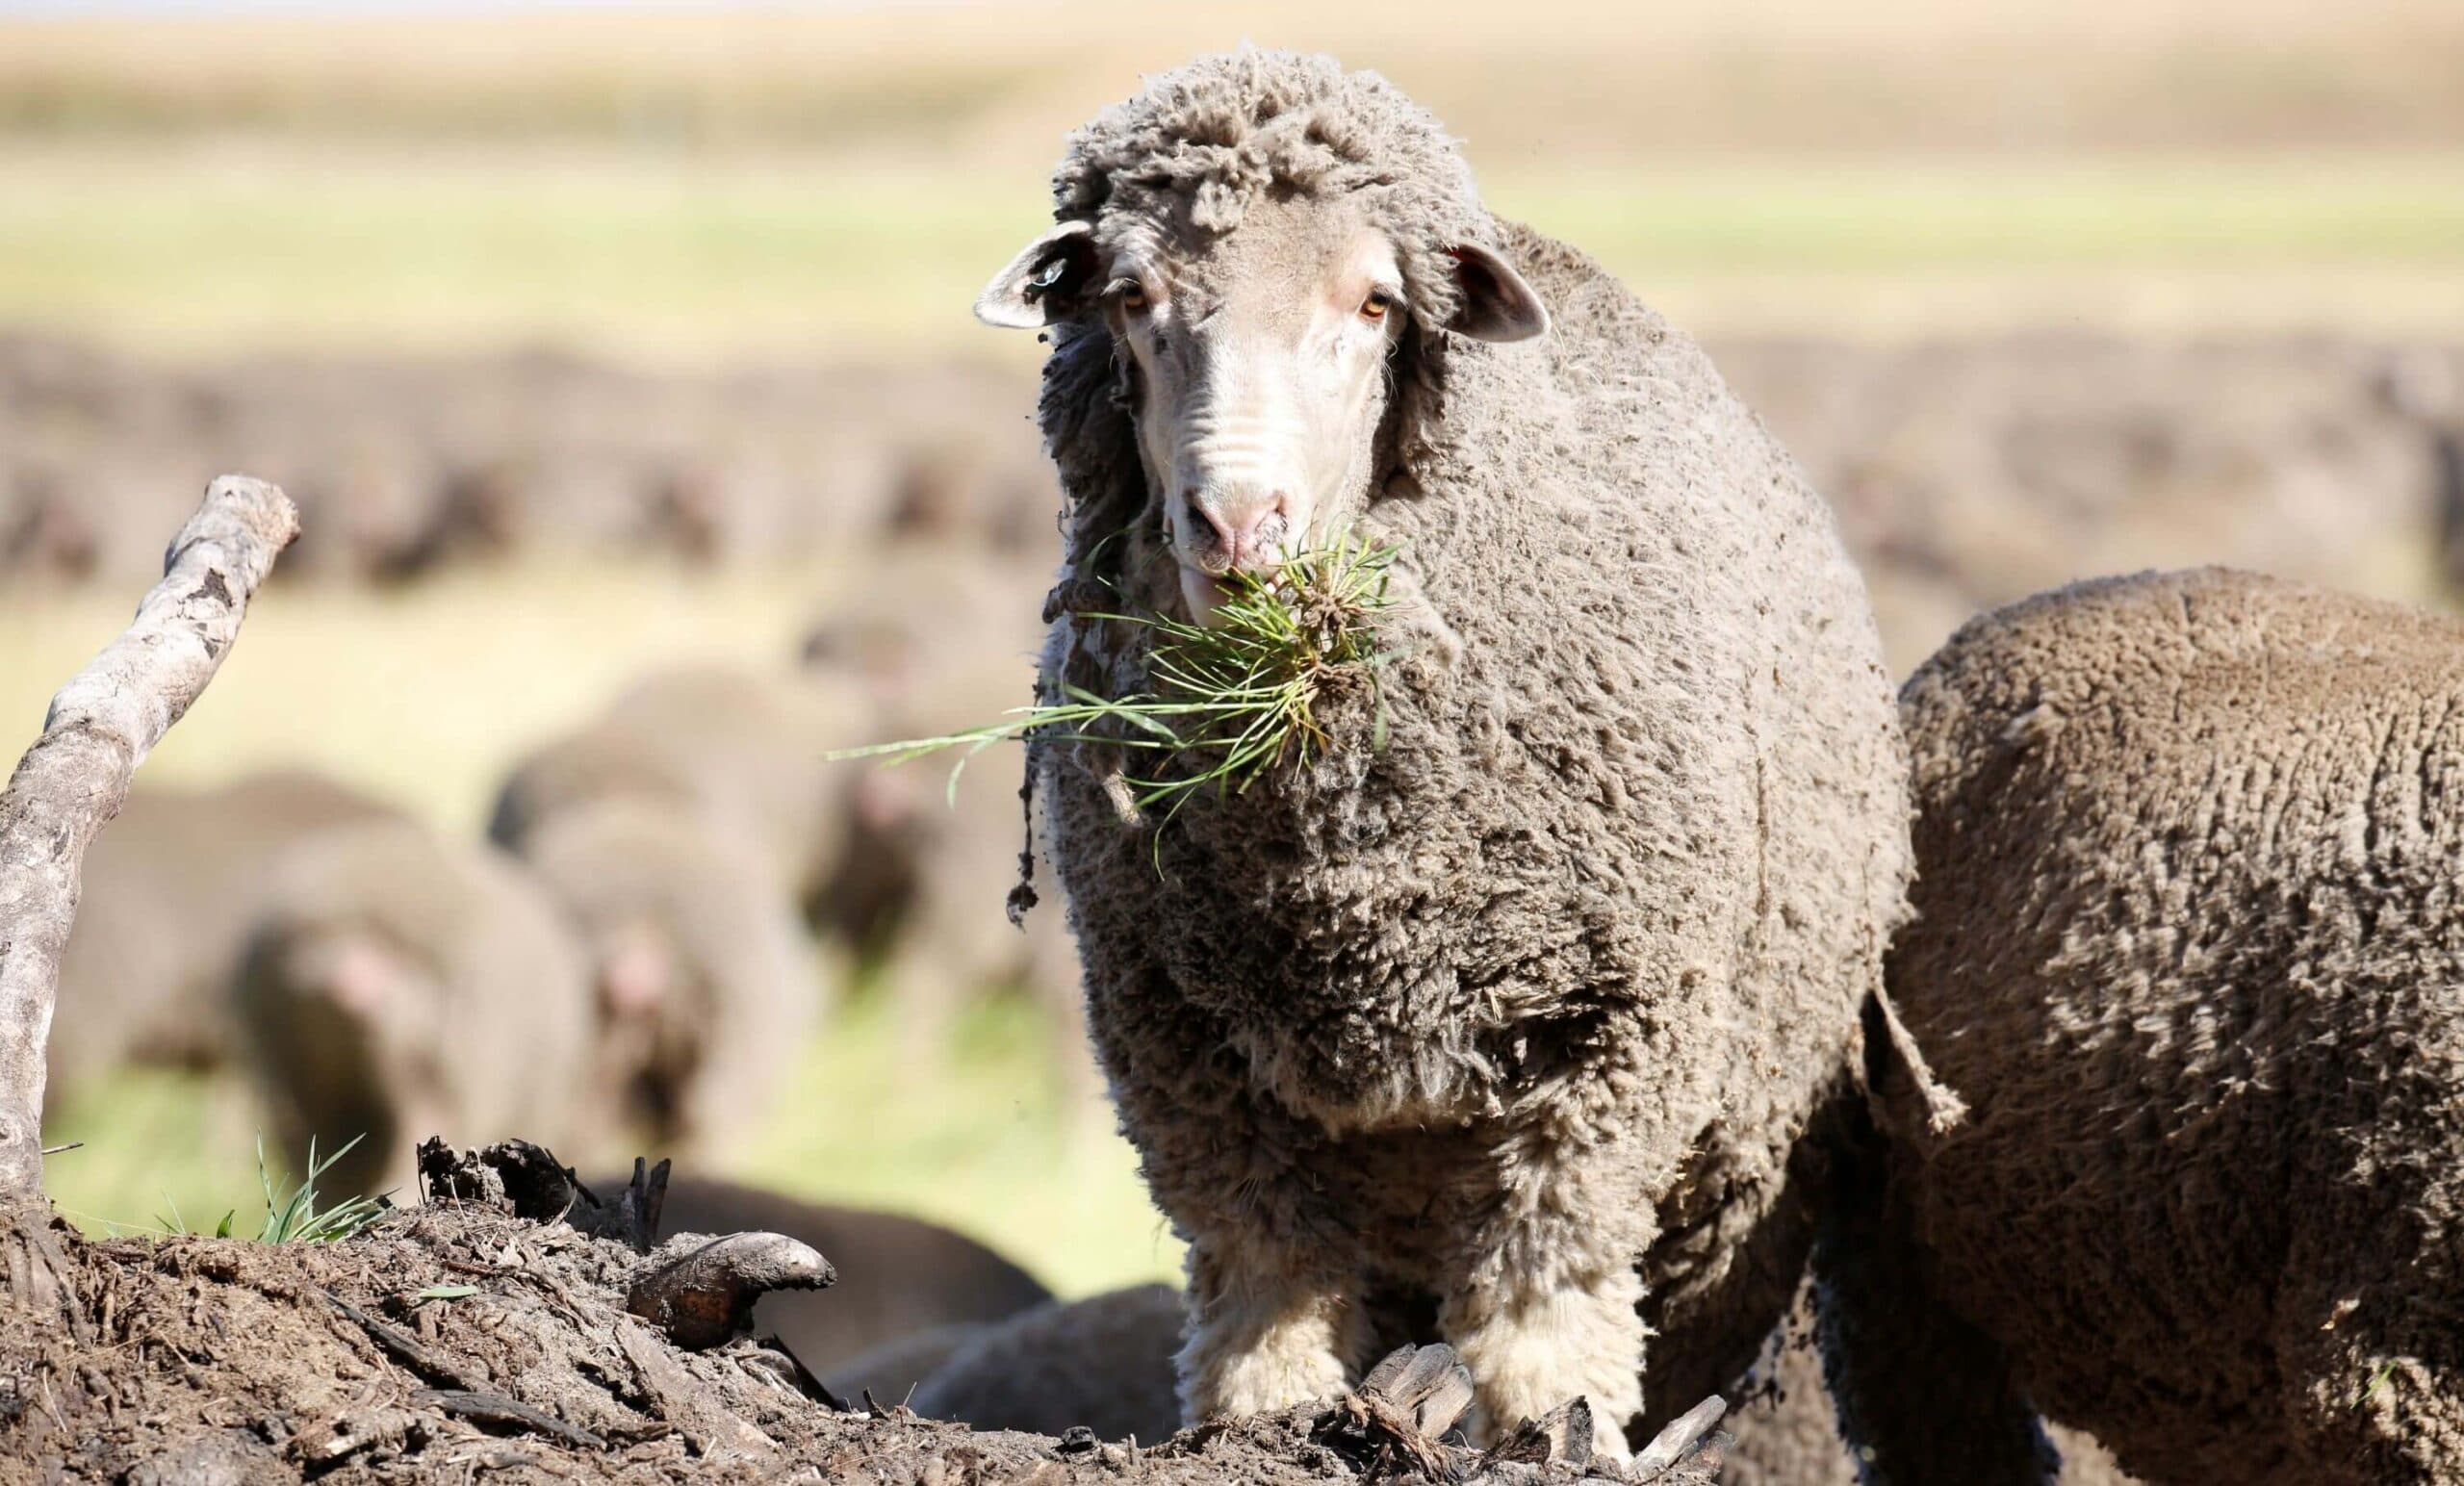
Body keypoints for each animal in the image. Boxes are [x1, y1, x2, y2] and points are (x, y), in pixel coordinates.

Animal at [975, 50, 1911, 1457]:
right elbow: (1264, 1292)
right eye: (1132, 298)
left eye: (1374, 303)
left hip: (1731, 1188)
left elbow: (1543, 1305)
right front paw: (1270, 1422)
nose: (1238, 526)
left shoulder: (1610, 1044)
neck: (1341, 886)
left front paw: (1552, 1432)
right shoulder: (1181, 1053)